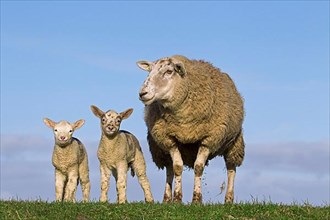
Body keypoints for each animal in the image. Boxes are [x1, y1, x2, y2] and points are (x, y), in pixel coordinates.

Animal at [137, 54, 245, 203]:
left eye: (169, 71)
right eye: (149, 71)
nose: (142, 93)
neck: (184, 122)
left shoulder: (209, 139)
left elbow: (198, 167)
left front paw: (196, 199)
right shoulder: (169, 139)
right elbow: (177, 167)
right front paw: (177, 199)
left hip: (234, 143)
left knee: (231, 168)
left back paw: (228, 199)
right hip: (160, 148)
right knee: (169, 169)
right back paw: (166, 199)